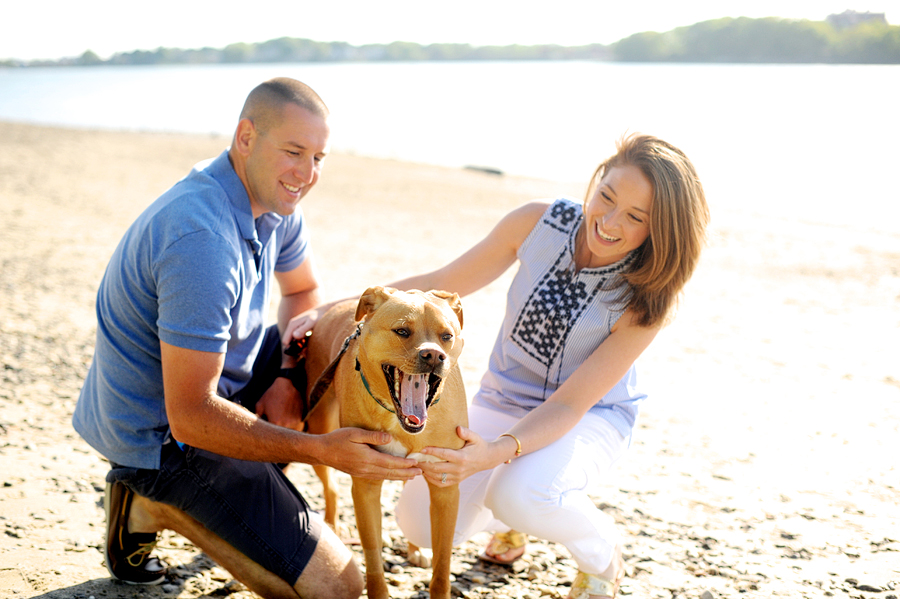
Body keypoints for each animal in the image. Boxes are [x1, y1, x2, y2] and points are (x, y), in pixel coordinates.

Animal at [306, 286, 468, 599]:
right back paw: (332, 525)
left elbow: (442, 567)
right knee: (330, 487)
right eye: (402, 331)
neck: (397, 417)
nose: (434, 355)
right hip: (319, 429)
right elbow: (373, 561)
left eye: (447, 335)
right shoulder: (365, 484)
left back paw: (415, 550)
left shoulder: (446, 487)